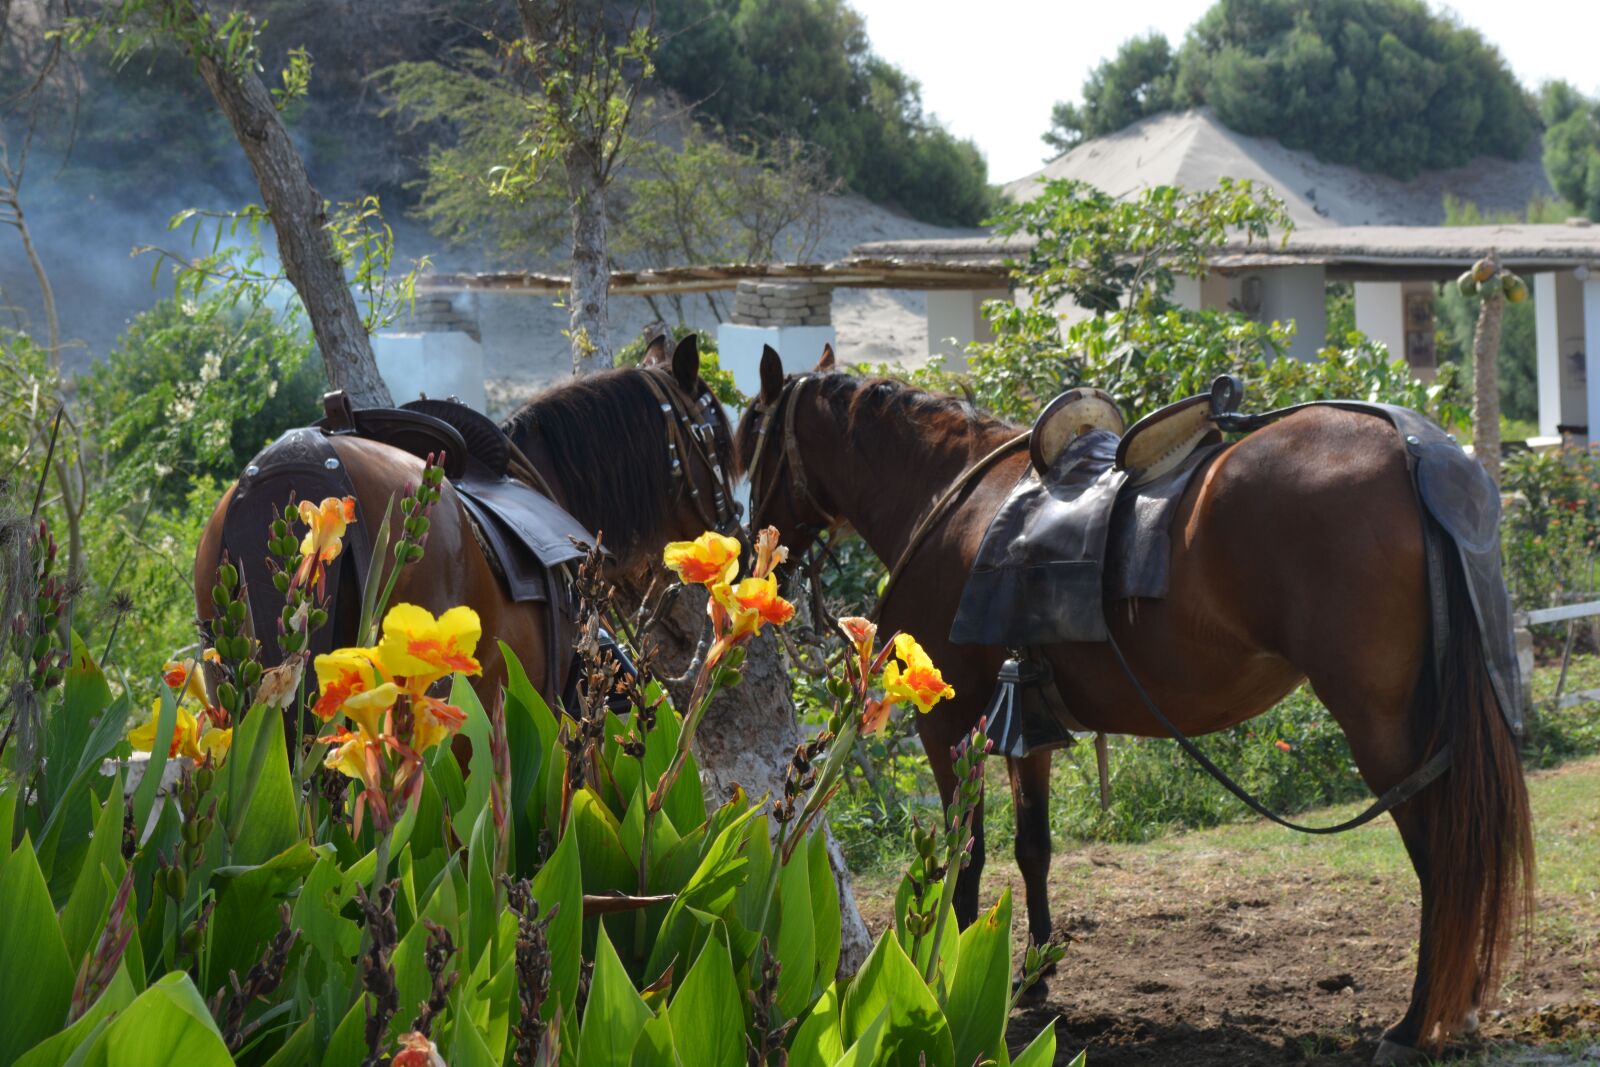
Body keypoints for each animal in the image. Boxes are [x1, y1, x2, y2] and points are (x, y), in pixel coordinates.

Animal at [735, 345, 1532, 1061]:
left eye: (752, 437)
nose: (754, 546)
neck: (952, 500)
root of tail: (1413, 453)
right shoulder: (1027, 723)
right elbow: (1034, 846)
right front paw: (1032, 974)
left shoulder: (951, 724)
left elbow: (968, 854)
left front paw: (942, 968)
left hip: (1381, 727)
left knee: (1441, 854)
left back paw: (1415, 1023)